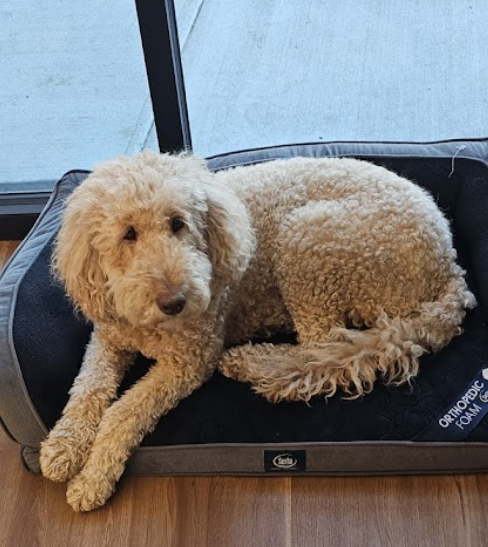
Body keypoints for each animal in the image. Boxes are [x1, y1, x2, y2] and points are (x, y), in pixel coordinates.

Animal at [39, 150, 476, 510]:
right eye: (128, 234)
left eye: (178, 223)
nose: (175, 301)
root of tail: (447, 264)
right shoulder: (108, 336)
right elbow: (88, 386)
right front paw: (63, 445)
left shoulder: (190, 360)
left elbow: (123, 412)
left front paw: (92, 478)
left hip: (310, 240)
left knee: (321, 355)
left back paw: (252, 361)